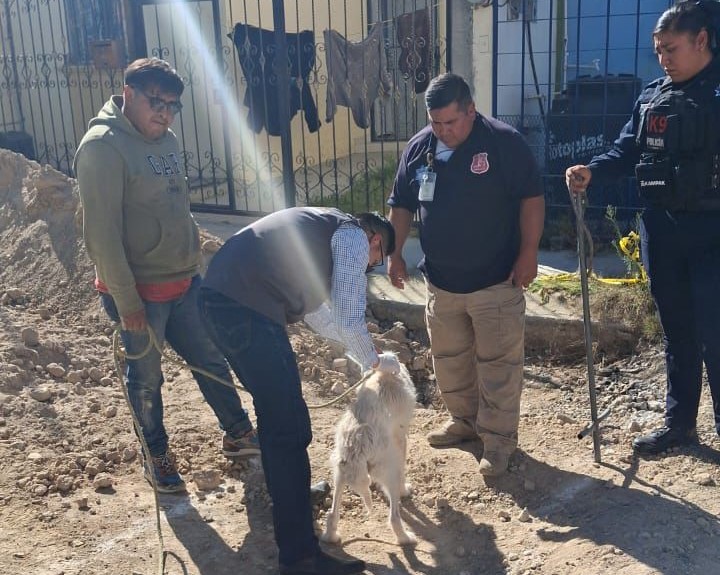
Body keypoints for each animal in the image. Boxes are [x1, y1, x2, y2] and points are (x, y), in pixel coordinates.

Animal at [321, 358, 417, 545]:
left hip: (340, 472)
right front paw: (405, 490)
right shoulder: (401, 439)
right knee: (394, 517)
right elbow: (403, 468)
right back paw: (406, 538)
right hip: (389, 471)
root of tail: (357, 446)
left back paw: (331, 537)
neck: (383, 376)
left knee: (332, 514)